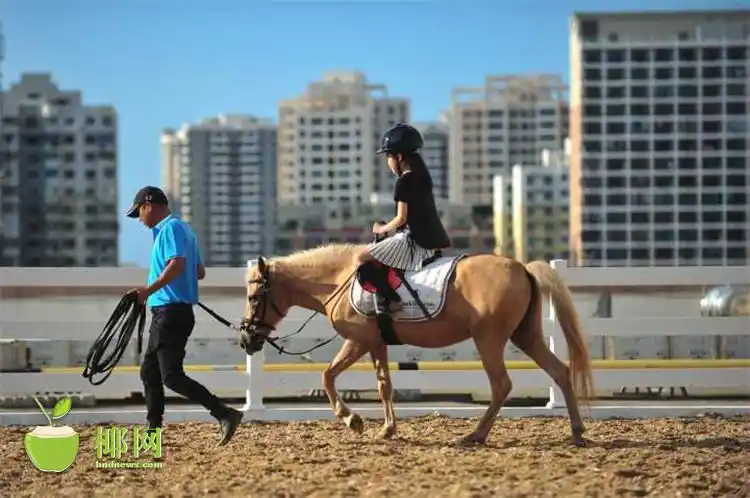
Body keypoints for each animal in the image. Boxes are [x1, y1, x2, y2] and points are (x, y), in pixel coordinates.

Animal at [238, 243, 594, 446]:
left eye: (254, 298)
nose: (246, 339)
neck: (339, 279)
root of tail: (521, 267)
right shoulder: (376, 343)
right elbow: (384, 385)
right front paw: (387, 429)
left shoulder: (357, 340)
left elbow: (327, 376)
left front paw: (352, 420)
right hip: (526, 336)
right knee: (560, 372)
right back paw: (577, 432)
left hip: (489, 339)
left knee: (502, 385)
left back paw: (476, 435)